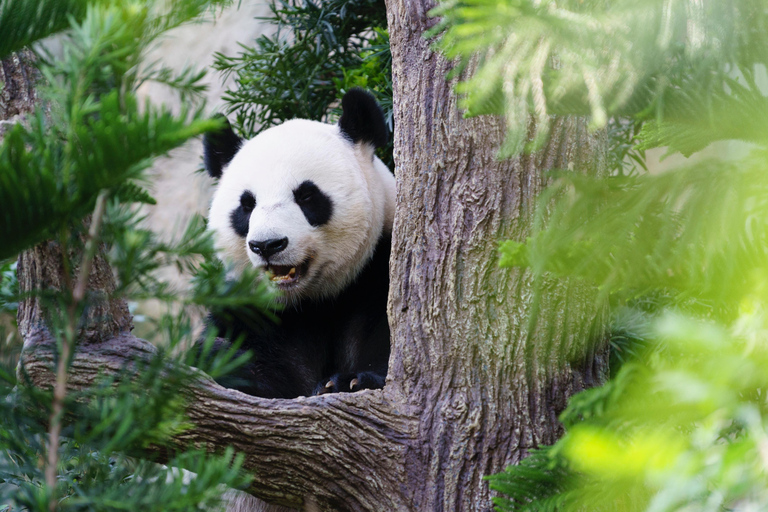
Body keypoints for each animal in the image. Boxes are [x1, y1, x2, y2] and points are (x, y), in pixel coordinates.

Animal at [202, 90, 396, 398]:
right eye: (246, 205)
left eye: (306, 195)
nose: (267, 245)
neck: (312, 300)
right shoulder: (254, 309)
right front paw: (226, 361)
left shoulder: (379, 269)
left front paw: (348, 381)